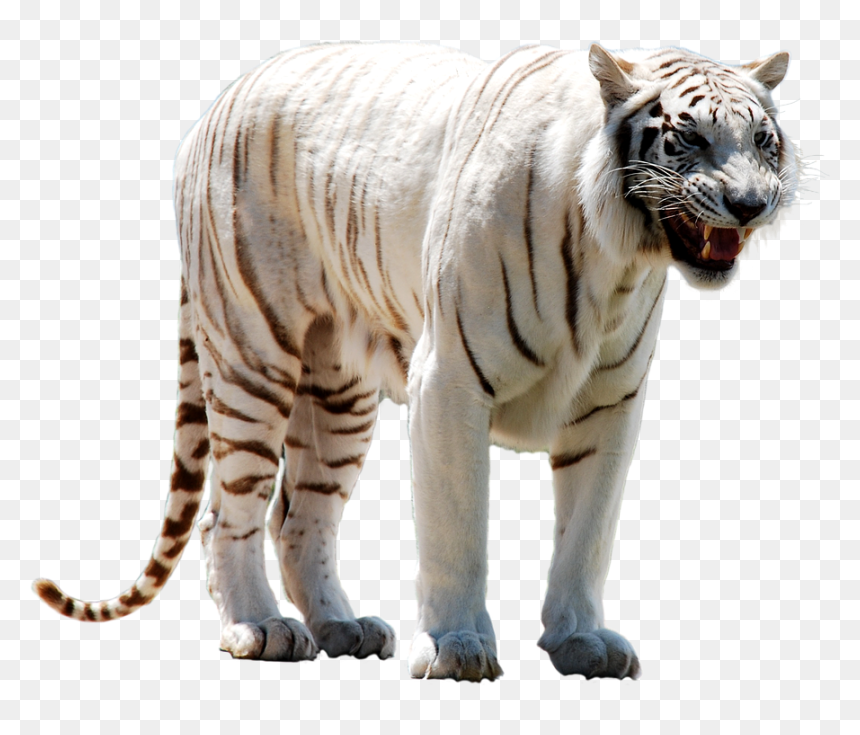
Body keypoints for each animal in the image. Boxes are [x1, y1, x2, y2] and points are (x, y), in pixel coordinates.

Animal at [34, 42, 799, 681]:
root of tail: (224, 98)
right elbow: (458, 527)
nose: (750, 203)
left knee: (299, 519)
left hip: (338, 397)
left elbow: (588, 532)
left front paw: (582, 640)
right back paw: (259, 627)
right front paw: (458, 648)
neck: (618, 256)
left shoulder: (610, 404)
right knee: (228, 514)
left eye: (762, 140)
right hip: (253, 352)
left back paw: (343, 628)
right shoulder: (450, 382)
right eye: (689, 136)